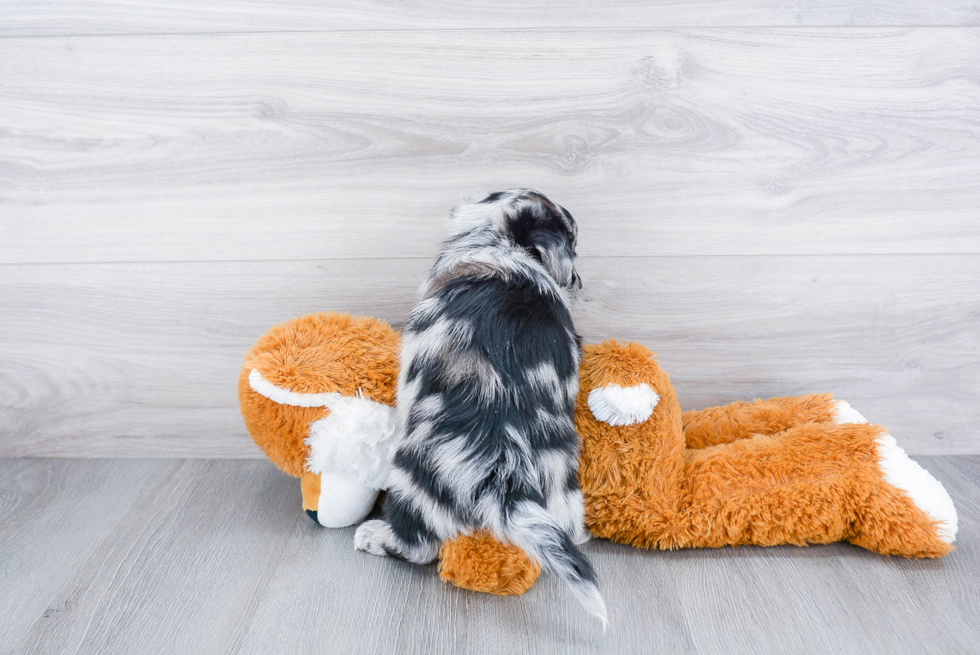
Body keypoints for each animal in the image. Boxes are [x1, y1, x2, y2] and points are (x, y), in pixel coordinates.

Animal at [352, 187, 604, 624]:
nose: (578, 280)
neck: (503, 244)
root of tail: (504, 468)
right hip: (563, 484)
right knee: (570, 530)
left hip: (410, 479)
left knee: (417, 545)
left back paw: (374, 536)